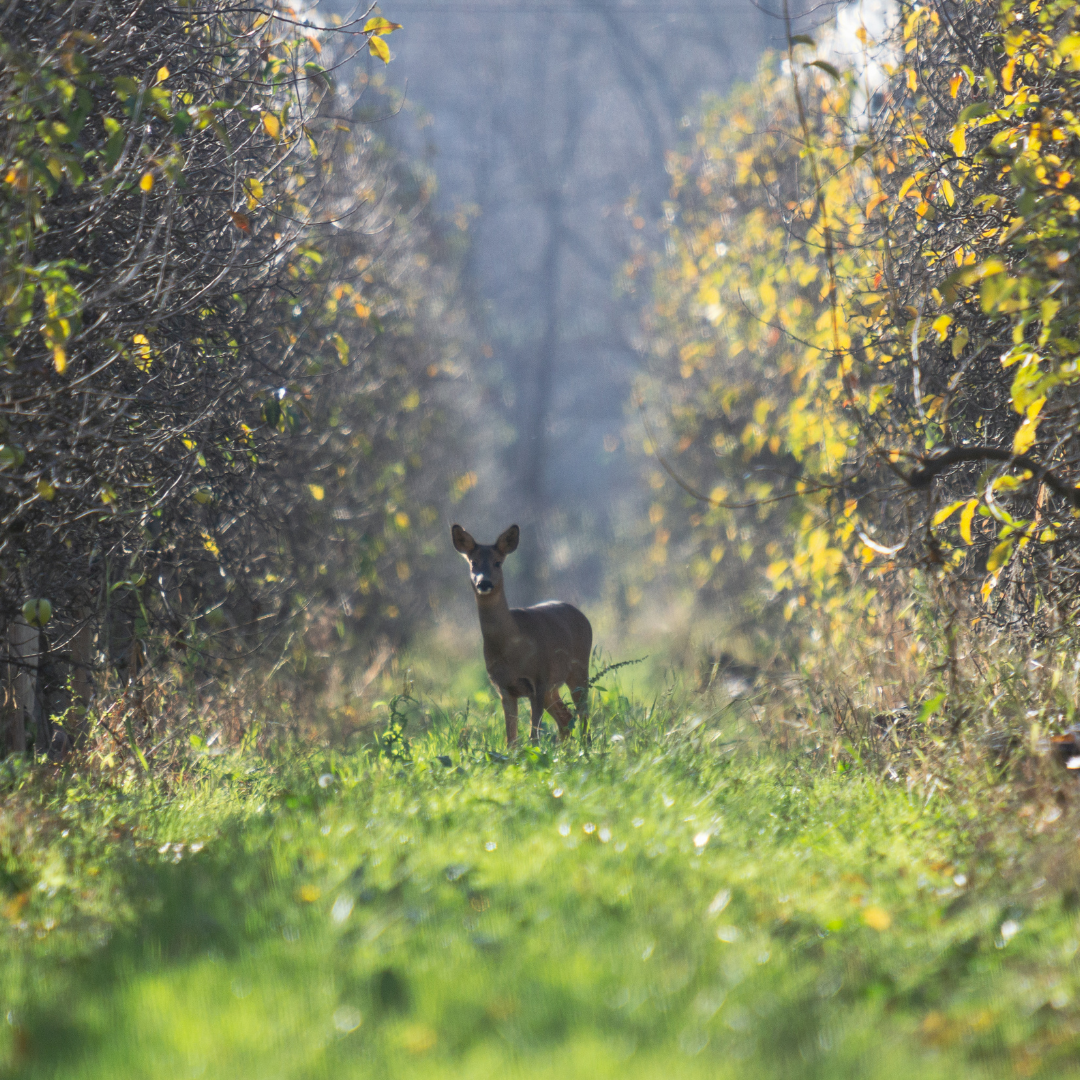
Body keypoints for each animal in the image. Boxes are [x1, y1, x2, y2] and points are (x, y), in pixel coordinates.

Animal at [453, 524, 596, 747]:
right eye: (473, 562)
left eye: (498, 562)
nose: (484, 583)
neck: (512, 646)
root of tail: (582, 615)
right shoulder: (504, 688)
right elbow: (511, 740)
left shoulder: (538, 680)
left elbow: (533, 737)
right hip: (552, 688)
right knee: (566, 718)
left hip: (578, 668)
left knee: (583, 715)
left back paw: (586, 748)